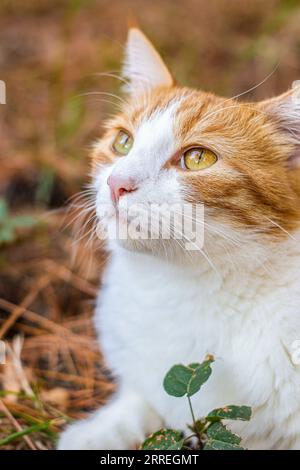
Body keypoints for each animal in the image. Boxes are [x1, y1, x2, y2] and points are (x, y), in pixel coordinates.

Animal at [58, 28, 300, 448]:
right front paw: (95, 432)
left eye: (198, 158)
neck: (179, 285)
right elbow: (141, 403)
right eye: (123, 142)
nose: (116, 183)